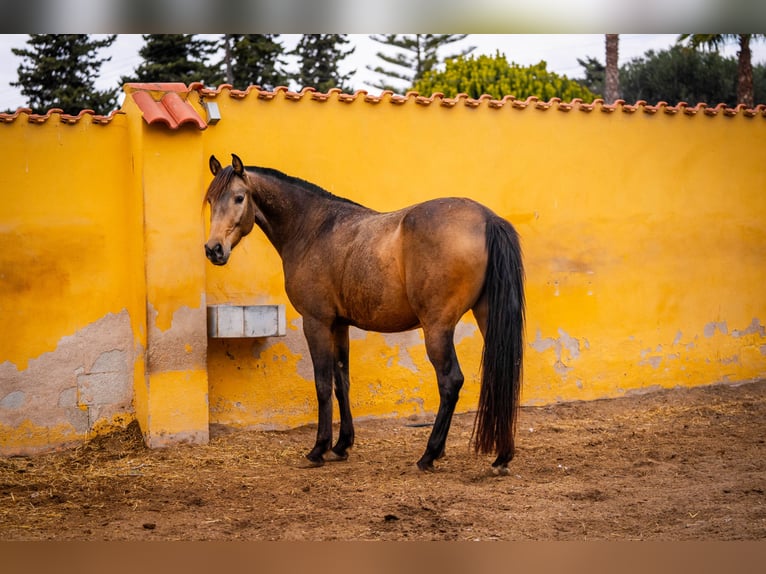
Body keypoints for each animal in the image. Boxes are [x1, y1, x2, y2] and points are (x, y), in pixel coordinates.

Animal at [204, 155, 528, 474]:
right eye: (211, 200)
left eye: (239, 197)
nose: (213, 249)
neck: (311, 228)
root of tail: (487, 218)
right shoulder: (339, 325)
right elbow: (341, 382)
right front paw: (341, 445)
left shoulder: (316, 322)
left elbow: (323, 384)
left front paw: (319, 449)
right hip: (486, 318)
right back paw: (501, 457)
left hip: (437, 327)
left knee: (450, 381)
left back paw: (429, 454)